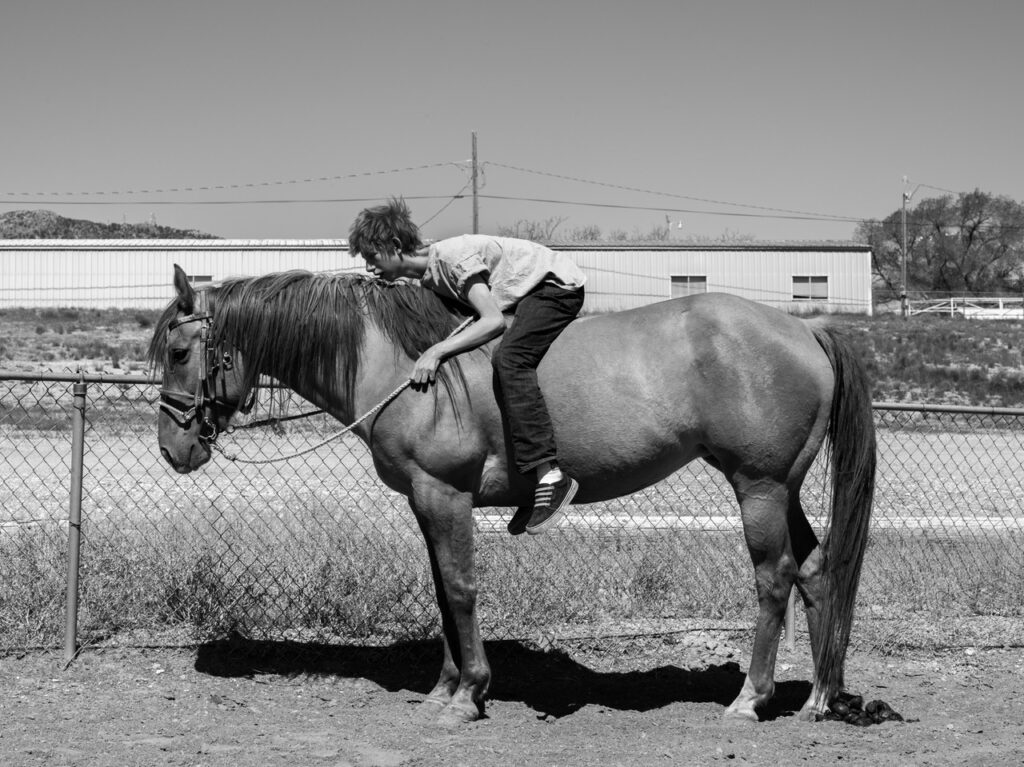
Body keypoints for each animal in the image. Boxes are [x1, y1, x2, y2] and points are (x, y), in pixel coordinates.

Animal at [148, 264, 876, 725]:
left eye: (181, 350)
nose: (172, 448)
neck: (407, 364)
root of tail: (803, 328)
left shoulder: (444, 493)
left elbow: (461, 588)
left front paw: (468, 694)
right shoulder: (426, 500)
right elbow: (442, 592)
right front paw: (444, 687)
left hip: (758, 486)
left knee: (774, 578)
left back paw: (750, 699)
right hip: (782, 487)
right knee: (816, 570)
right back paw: (817, 697)